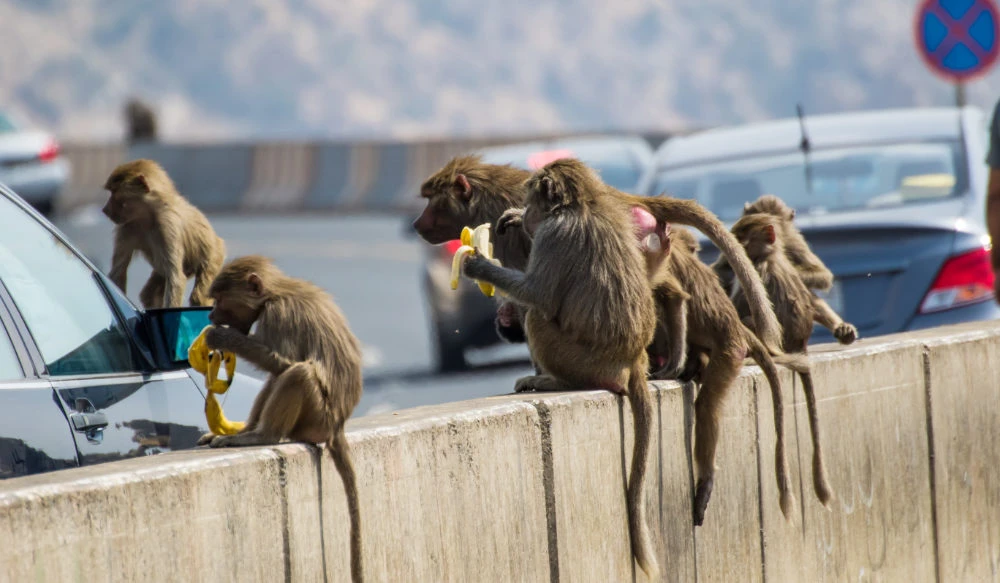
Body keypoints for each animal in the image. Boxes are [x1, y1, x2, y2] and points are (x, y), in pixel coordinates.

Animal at [102, 159, 226, 309]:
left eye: (114, 192)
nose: (105, 210)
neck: (146, 216)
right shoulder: (126, 227)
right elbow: (118, 271)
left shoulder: (167, 226)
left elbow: (176, 278)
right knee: (149, 293)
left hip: (214, 257)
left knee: (198, 296)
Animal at [198, 255, 364, 583]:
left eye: (220, 300)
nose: (210, 313)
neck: (274, 293)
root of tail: (337, 426)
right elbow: (278, 370)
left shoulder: (278, 315)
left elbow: (284, 363)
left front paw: (224, 337)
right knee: (281, 377)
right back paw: (244, 432)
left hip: (317, 418)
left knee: (298, 373)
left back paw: (262, 436)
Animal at [461, 159, 660, 578]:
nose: (528, 215)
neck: (581, 204)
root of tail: (632, 359)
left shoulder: (554, 234)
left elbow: (537, 294)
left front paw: (477, 262)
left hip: (580, 359)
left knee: (537, 316)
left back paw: (554, 381)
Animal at [712, 194, 858, 345]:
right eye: (760, 214)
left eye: (776, 218)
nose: (772, 227)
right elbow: (720, 269)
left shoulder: (793, 241)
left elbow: (823, 276)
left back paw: (842, 329)